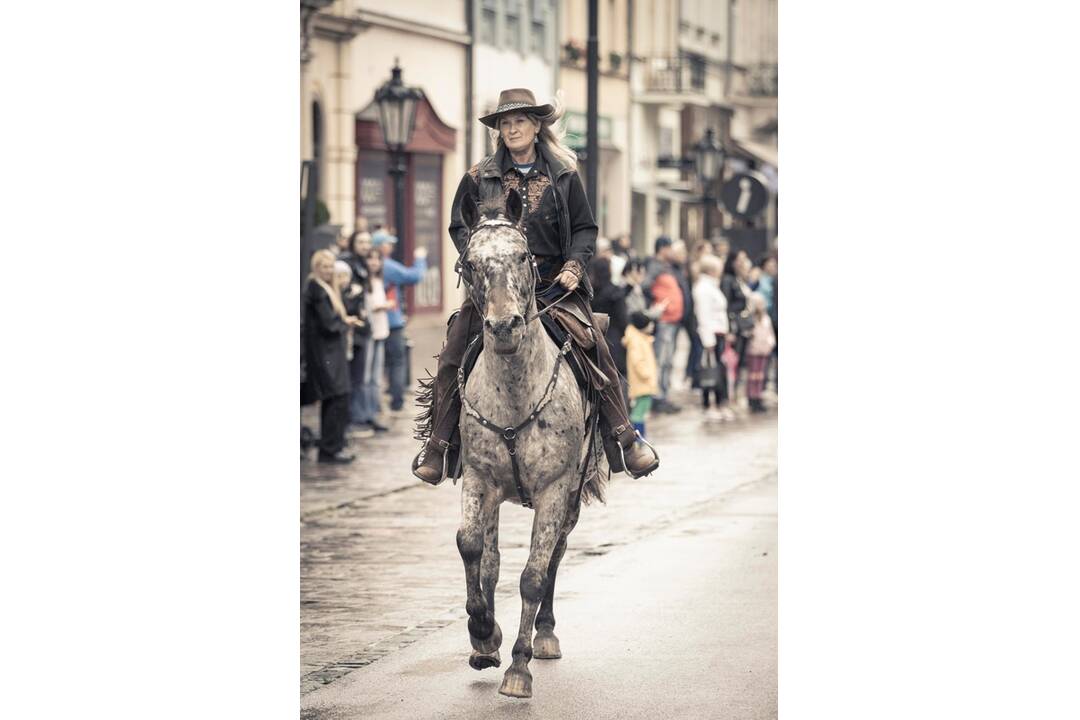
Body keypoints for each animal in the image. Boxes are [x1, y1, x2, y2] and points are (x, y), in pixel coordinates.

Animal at [449, 189, 609, 699]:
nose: (504, 326)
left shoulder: (555, 490)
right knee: (492, 559)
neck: (516, 393)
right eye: (471, 262)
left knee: (554, 557)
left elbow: (534, 577)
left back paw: (545, 635)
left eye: (522, 255)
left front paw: (518, 668)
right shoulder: (479, 479)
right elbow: (471, 547)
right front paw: (483, 635)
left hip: (572, 496)